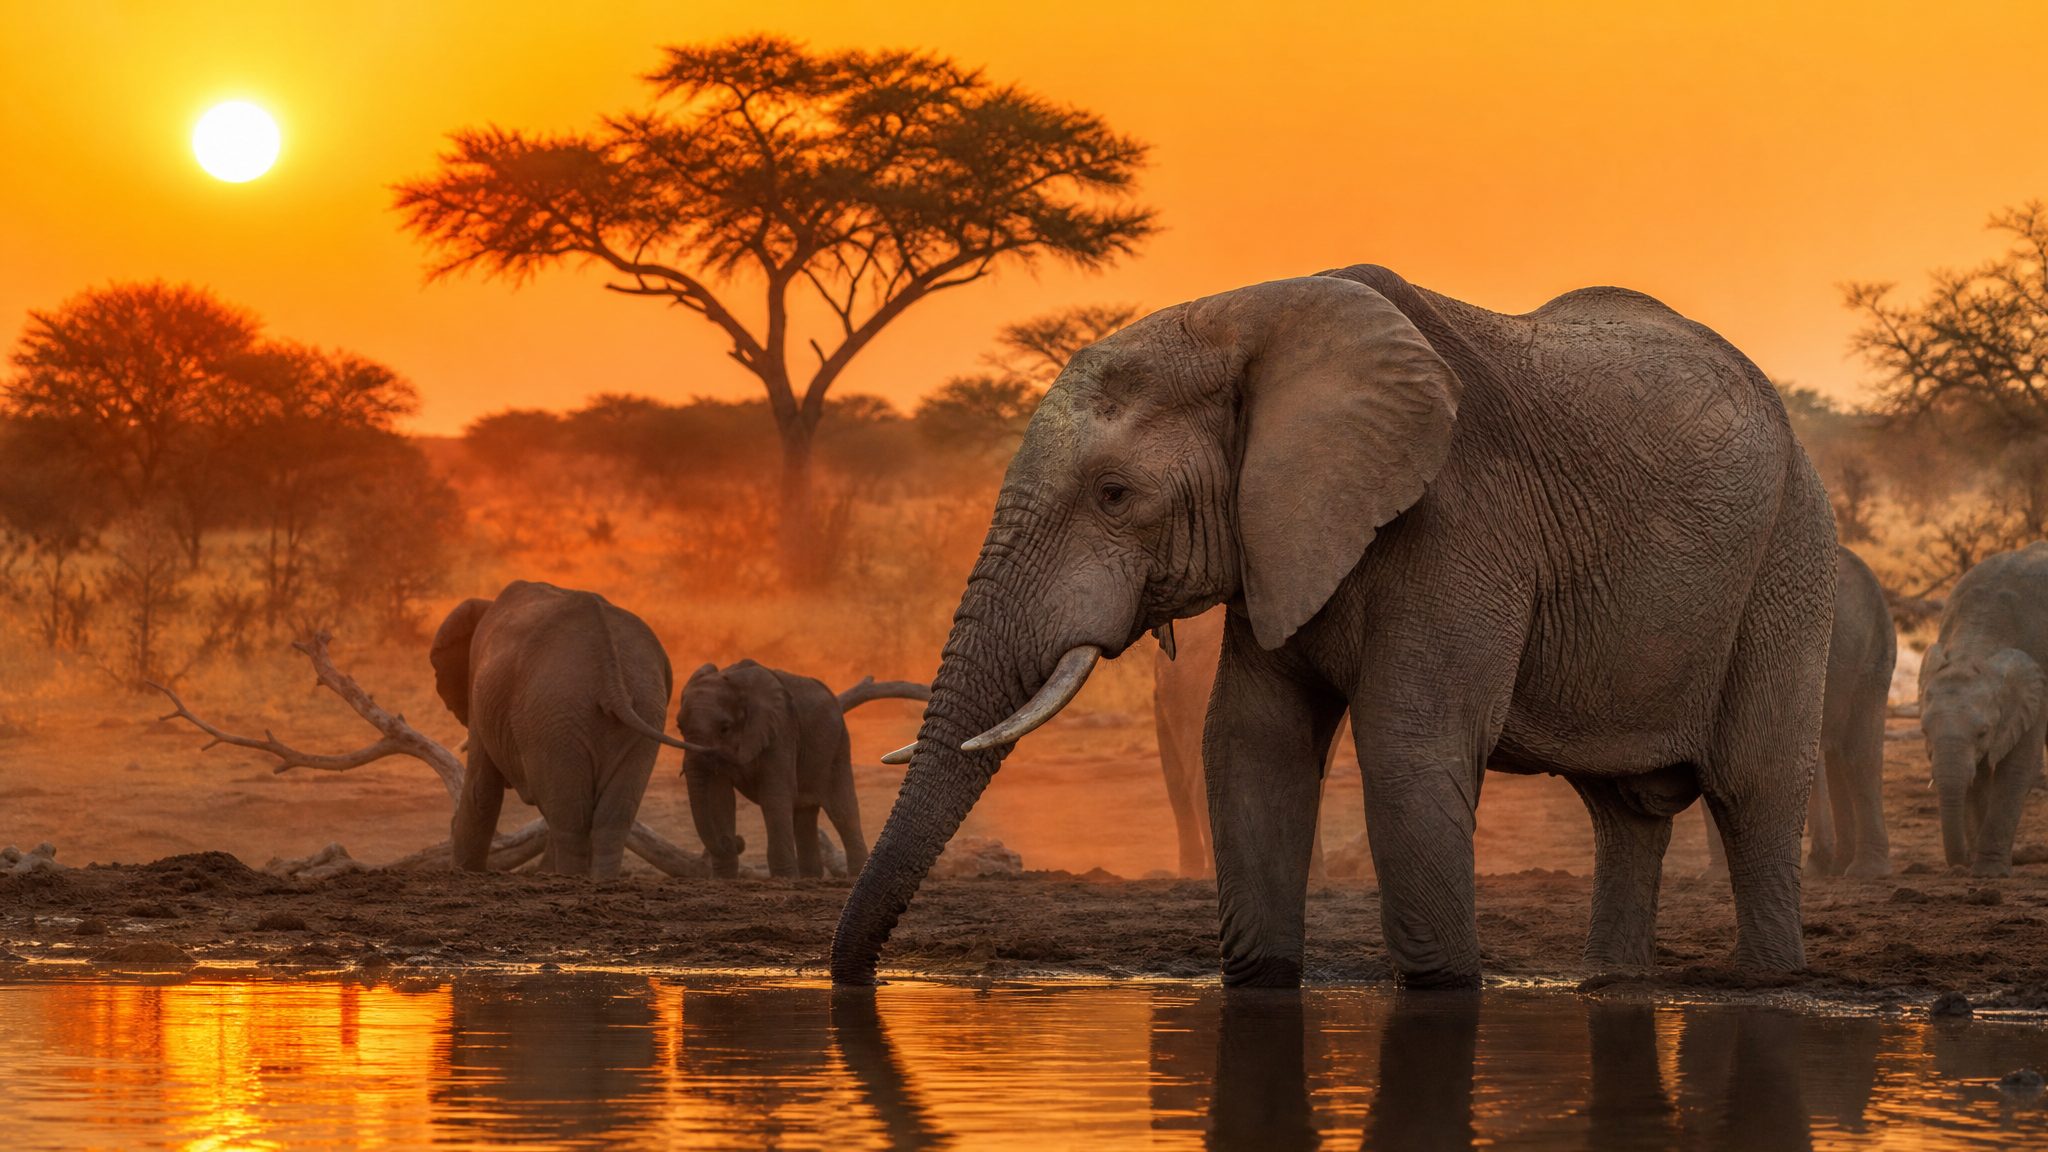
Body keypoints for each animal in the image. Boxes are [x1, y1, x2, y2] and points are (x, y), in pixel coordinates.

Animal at [431, 579, 702, 878]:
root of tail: (609, 675)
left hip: (555, 710)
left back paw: (567, 878)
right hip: (640, 704)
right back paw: (599, 881)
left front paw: (465, 873)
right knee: (608, 819)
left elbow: (481, 790)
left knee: (569, 819)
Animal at [678, 660, 928, 879]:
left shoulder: (781, 729)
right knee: (804, 813)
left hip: (838, 742)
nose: (737, 842)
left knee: (842, 810)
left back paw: (851, 873)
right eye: (679, 726)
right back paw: (811, 877)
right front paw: (724, 878)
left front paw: (783, 879)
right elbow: (720, 798)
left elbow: (774, 795)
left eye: (724, 728)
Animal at [834, 265, 1836, 989]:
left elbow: (1407, 749)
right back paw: (1612, 985)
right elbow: (1250, 742)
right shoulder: (1275, 541)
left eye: (1115, 495)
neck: (1247, 318)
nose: (856, 979)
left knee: (1754, 786)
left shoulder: (1459, 525)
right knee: (1622, 812)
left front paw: (1445, 988)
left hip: (1791, 554)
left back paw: (1769, 984)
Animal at [1918, 541, 2048, 876]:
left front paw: (1989, 873)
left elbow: (2017, 767)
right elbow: (1977, 775)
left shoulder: (2038, 677)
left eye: (1983, 733)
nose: (1959, 864)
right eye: (1924, 731)